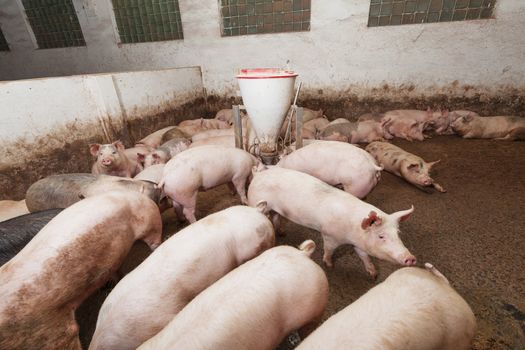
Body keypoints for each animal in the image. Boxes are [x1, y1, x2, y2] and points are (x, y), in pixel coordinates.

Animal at [248, 167, 416, 278]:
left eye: (398, 234)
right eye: (381, 236)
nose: (410, 258)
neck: (353, 230)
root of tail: (258, 174)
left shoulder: (358, 243)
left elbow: (364, 256)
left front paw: (373, 274)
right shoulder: (329, 235)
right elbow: (329, 250)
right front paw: (329, 265)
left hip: (276, 210)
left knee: (277, 217)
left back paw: (282, 233)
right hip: (255, 201)